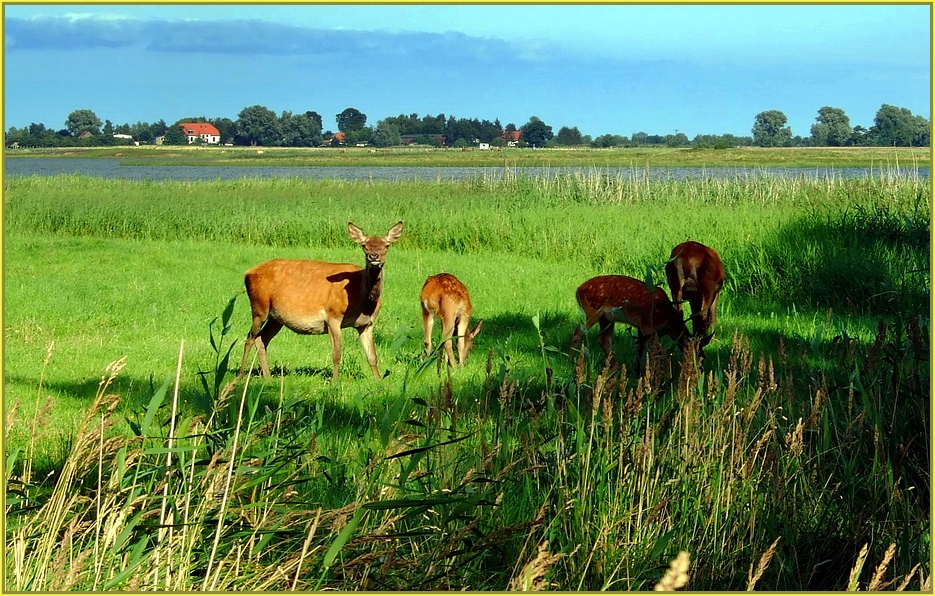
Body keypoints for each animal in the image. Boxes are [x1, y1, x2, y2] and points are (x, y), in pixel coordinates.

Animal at [238, 220, 402, 382]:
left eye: (387, 245)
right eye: (364, 245)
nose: (374, 256)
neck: (363, 303)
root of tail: (247, 273)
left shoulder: (366, 324)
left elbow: (372, 356)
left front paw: (379, 382)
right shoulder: (333, 316)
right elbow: (337, 354)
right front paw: (335, 382)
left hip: (276, 317)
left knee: (261, 339)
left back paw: (268, 377)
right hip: (259, 306)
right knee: (249, 338)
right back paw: (240, 376)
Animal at [568, 274, 700, 368]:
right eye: (697, 355)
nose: (699, 369)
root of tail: (577, 290)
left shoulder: (642, 327)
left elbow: (640, 348)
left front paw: (637, 372)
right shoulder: (648, 326)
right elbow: (654, 352)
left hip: (607, 318)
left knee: (605, 340)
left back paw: (615, 367)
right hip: (590, 311)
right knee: (577, 333)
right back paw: (571, 361)